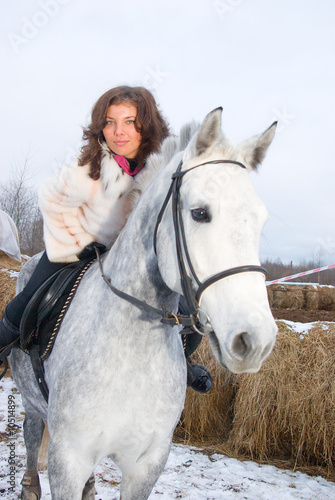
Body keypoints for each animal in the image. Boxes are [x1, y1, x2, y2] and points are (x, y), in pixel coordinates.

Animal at [9, 107, 278, 498]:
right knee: (31, 435)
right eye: (199, 213)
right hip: (31, 404)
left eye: (261, 220)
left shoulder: (146, 465)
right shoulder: (68, 460)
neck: (130, 352)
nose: (255, 340)